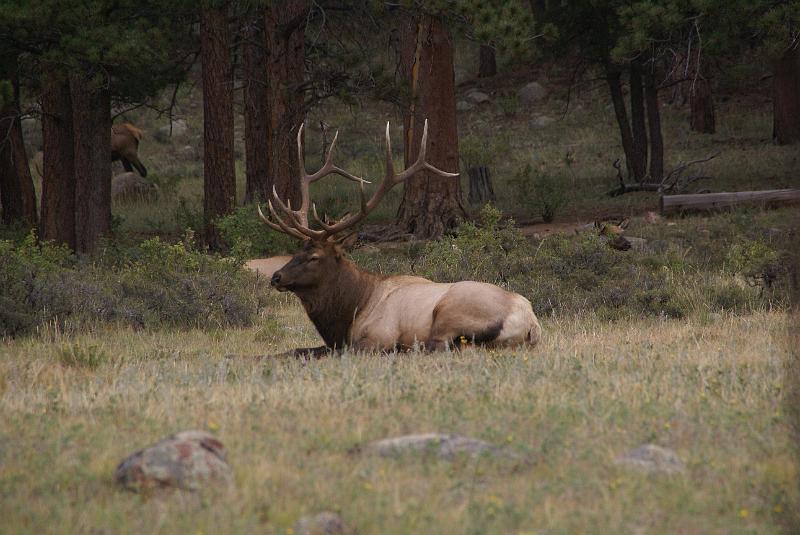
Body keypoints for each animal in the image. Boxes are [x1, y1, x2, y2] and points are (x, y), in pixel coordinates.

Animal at [260, 121, 540, 356]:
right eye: (296, 251)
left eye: (314, 257)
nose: (276, 277)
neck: (352, 312)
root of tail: (530, 324)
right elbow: (298, 350)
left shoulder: (377, 336)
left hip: (450, 313)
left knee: (435, 346)